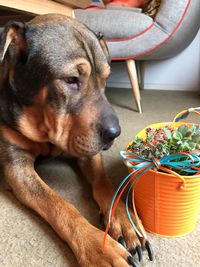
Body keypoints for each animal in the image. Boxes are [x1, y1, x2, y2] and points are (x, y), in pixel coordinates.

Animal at [0, 15, 152, 267]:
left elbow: (104, 182)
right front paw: (98, 247)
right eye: (71, 80)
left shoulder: (87, 147)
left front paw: (124, 220)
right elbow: (57, 204)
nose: (114, 133)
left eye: (106, 79)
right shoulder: (16, 167)